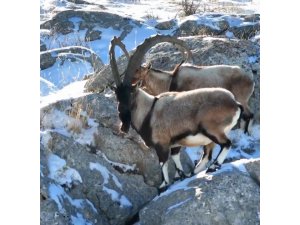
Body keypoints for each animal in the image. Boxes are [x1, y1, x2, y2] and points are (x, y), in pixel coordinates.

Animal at [109, 35, 243, 192]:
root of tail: (234, 103)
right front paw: (181, 176)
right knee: (207, 154)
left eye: (130, 93)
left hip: (212, 130)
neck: (149, 111)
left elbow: (163, 164)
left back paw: (213, 167)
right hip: (210, 138)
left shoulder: (162, 144)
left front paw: (164, 185)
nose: (123, 122)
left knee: (226, 144)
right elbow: (175, 159)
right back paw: (195, 172)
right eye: (117, 96)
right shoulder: (175, 145)